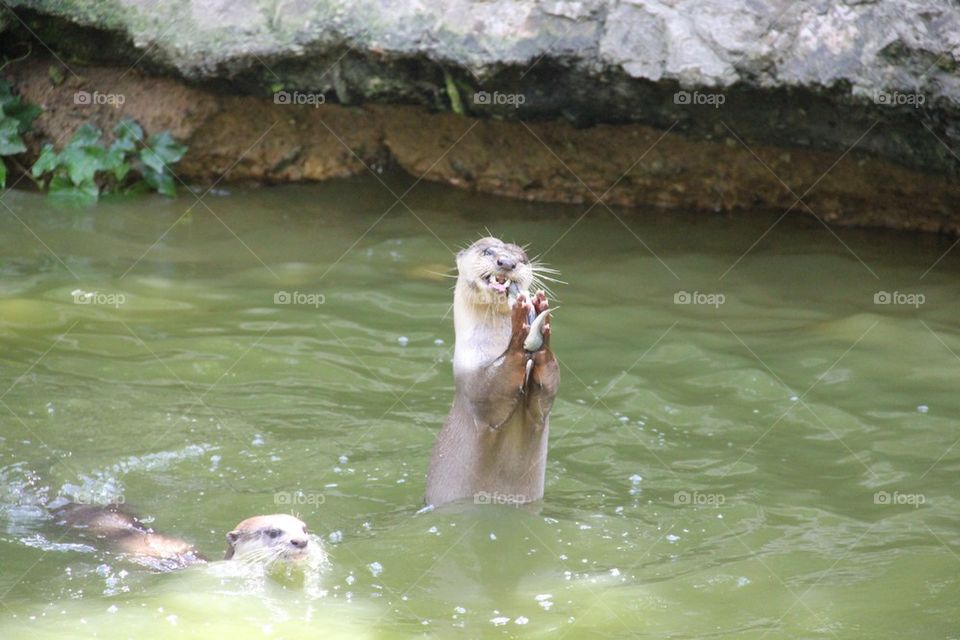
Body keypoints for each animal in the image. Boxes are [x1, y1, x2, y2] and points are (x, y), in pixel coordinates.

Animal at [425, 237, 560, 507]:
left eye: (522, 258)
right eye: (487, 250)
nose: (506, 262)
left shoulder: (542, 412)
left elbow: (548, 390)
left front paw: (540, 313)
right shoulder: (473, 381)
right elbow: (494, 386)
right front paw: (520, 328)